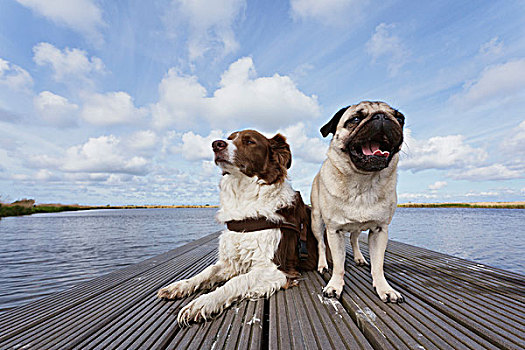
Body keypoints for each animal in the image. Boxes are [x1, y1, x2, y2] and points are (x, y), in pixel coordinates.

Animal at [157, 129, 316, 326]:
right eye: (229, 138)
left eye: (249, 141)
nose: (216, 144)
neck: (245, 197)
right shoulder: (232, 261)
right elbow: (208, 271)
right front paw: (180, 285)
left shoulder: (278, 270)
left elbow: (236, 282)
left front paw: (202, 303)